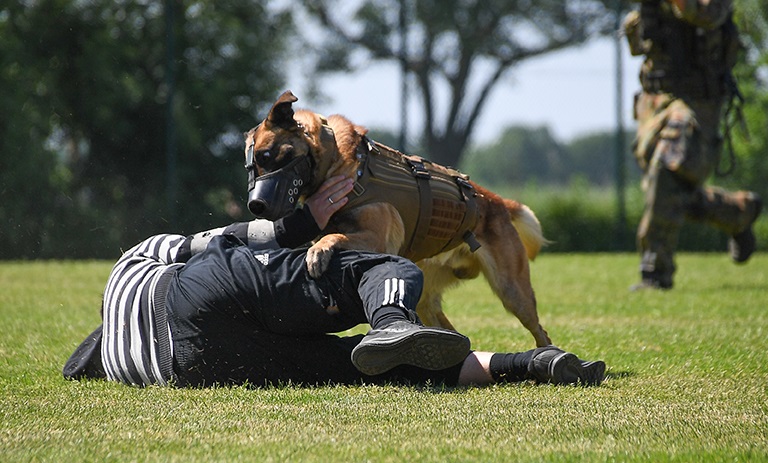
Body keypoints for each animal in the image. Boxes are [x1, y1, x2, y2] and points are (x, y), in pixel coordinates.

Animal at [243, 90, 548, 346]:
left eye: (266, 156)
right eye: (251, 166)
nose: (256, 205)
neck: (335, 159)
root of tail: (495, 200)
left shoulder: (376, 239)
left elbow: (333, 235)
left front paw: (317, 253)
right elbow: (328, 233)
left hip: (512, 291)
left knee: (539, 331)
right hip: (428, 297)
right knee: (454, 332)